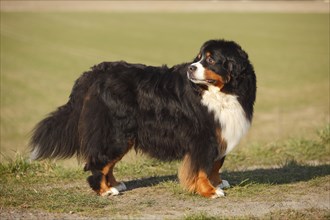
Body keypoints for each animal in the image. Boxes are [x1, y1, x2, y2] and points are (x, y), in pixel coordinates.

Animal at [30, 39, 255, 198]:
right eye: (198, 58)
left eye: (210, 59)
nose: (191, 68)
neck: (223, 92)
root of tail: (92, 74)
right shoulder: (203, 137)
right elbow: (201, 168)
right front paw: (209, 190)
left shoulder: (221, 132)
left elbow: (216, 163)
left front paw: (217, 182)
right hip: (115, 134)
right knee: (99, 162)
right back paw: (104, 190)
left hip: (124, 134)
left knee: (108, 163)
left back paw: (115, 184)